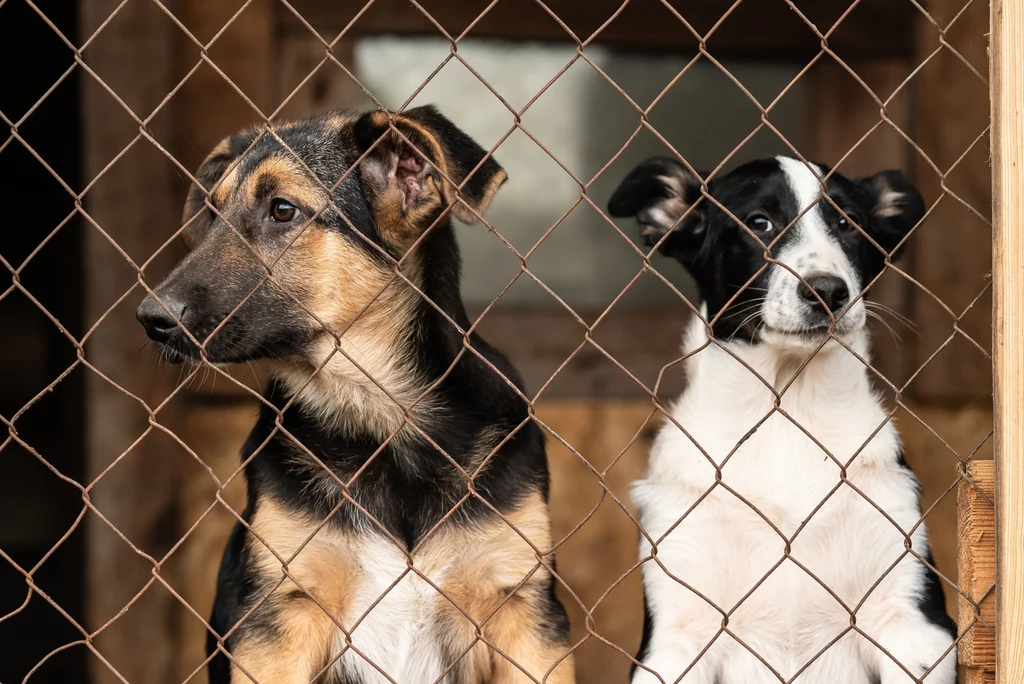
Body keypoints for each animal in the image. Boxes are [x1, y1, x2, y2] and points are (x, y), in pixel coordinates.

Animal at [138, 107, 577, 684]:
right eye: (211, 214)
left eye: (283, 210)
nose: (150, 319)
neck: (380, 416)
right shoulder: (278, 616)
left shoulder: (522, 608)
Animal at [606, 157, 950, 679]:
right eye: (758, 223)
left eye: (847, 224)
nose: (827, 291)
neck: (785, 410)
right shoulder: (676, 635)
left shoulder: (911, 623)